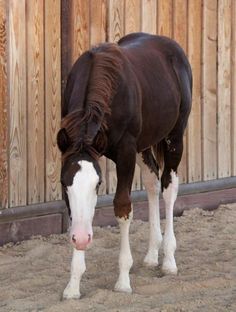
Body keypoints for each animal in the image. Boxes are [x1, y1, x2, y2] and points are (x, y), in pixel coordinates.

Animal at [57, 32, 192, 300]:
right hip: (145, 143)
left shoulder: (126, 152)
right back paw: (152, 255)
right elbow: (78, 213)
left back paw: (168, 260)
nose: (81, 238)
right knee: (152, 183)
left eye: (98, 183)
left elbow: (122, 207)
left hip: (174, 136)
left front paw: (123, 281)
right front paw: (73, 286)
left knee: (169, 188)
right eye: (64, 183)